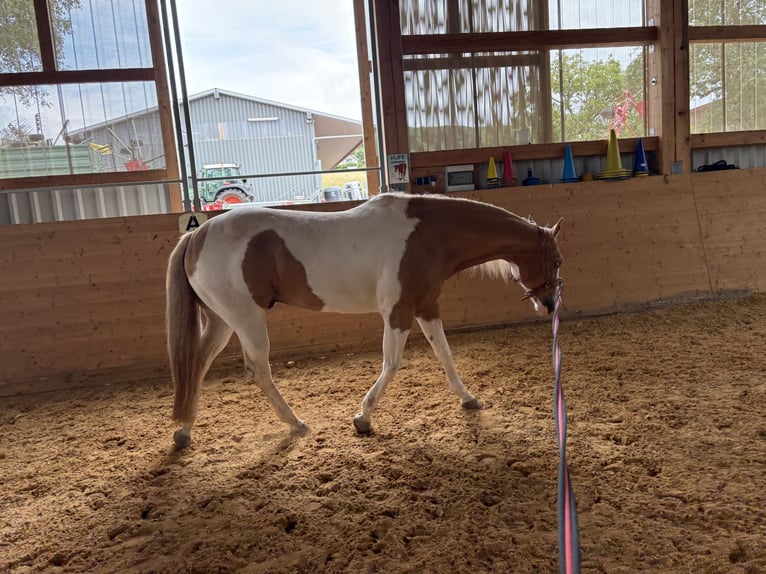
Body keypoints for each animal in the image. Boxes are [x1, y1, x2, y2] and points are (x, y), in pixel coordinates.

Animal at [166, 192, 563, 449]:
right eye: (557, 261)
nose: (548, 305)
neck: (429, 234)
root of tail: (196, 234)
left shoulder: (426, 307)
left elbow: (445, 355)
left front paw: (468, 399)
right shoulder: (398, 311)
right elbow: (392, 362)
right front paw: (363, 418)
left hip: (222, 321)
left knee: (197, 363)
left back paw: (185, 431)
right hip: (246, 318)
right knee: (258, 369)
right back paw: (296, 423)